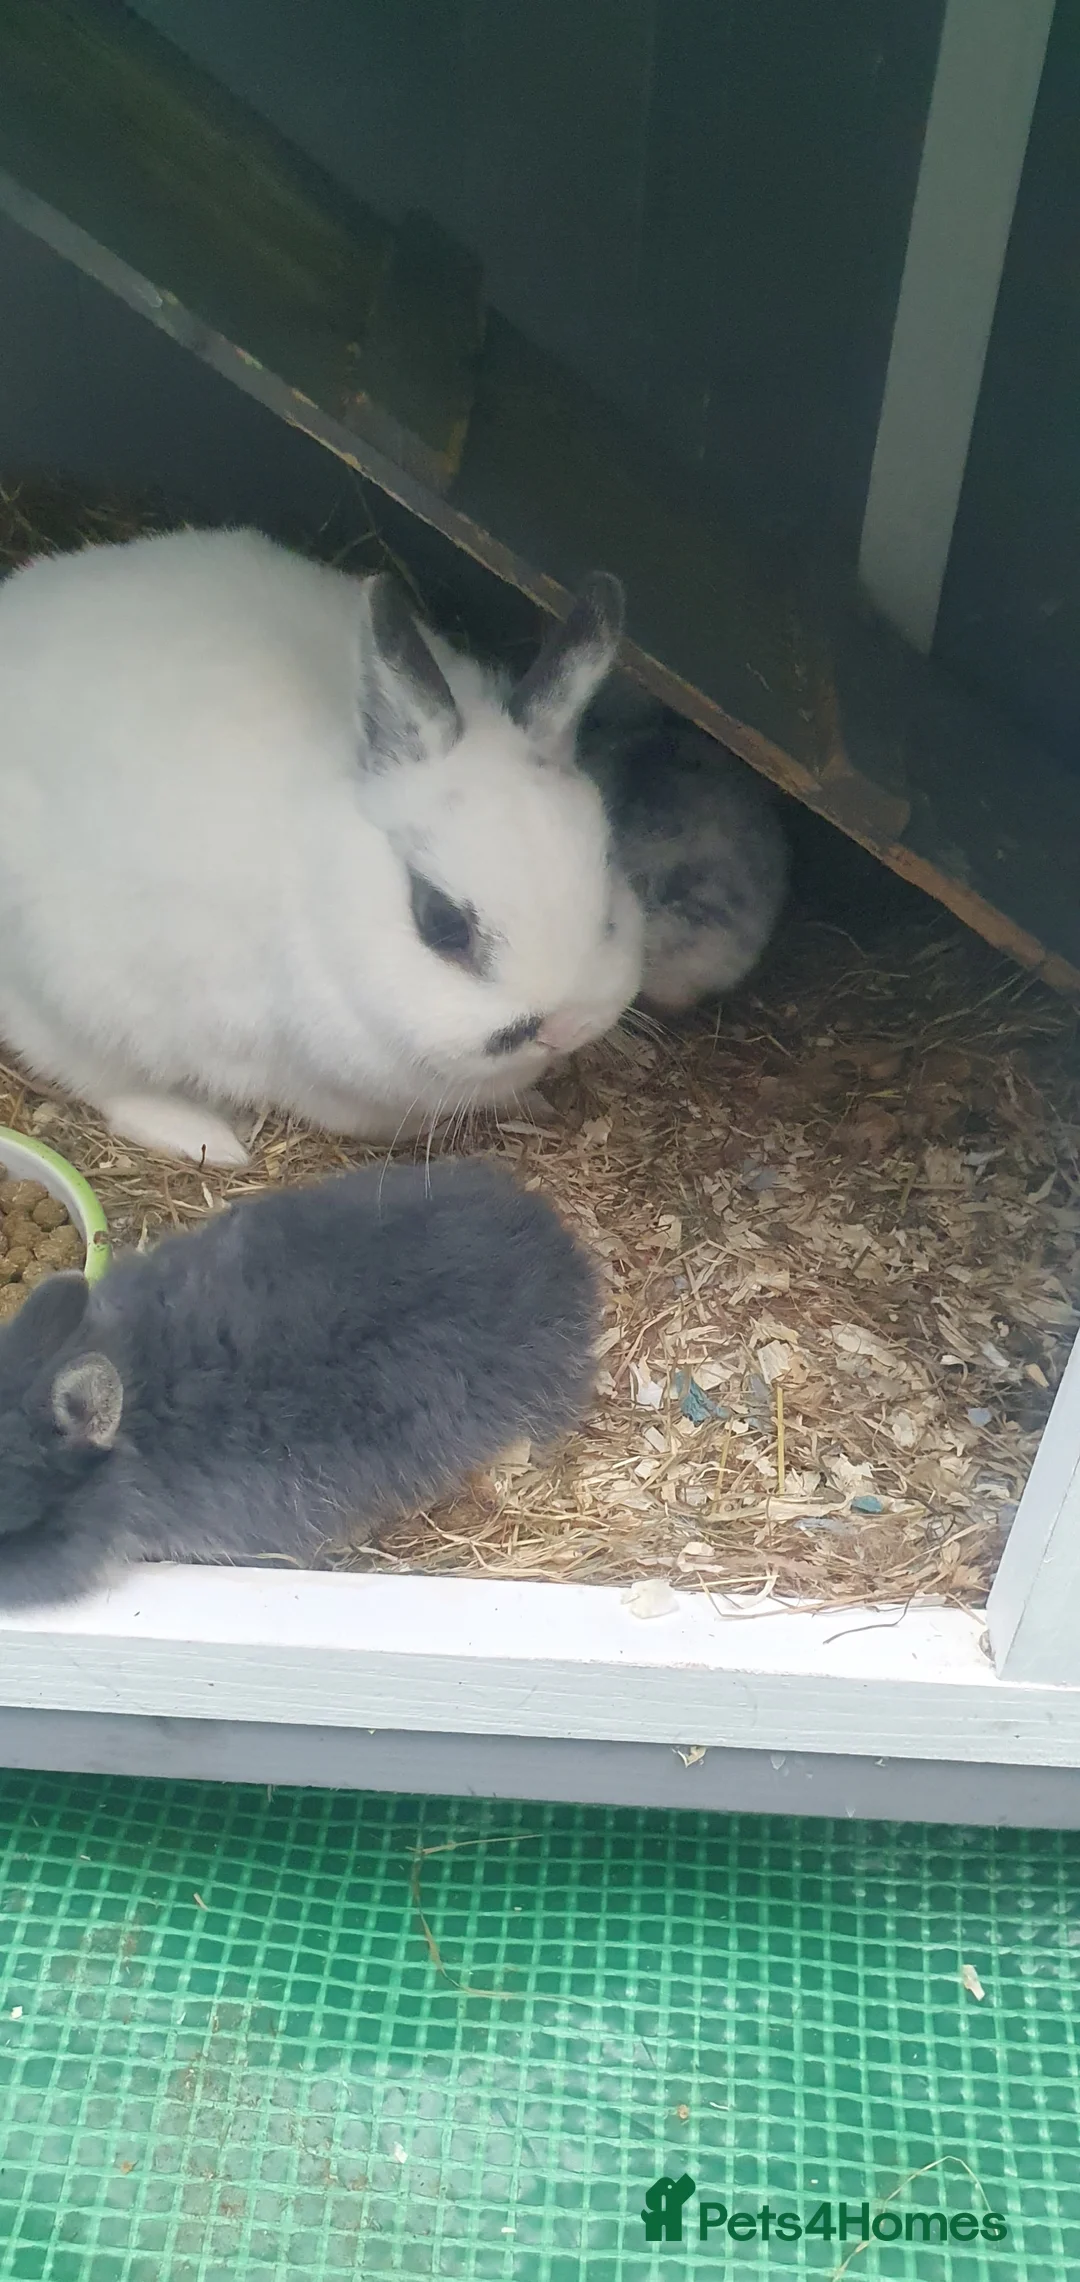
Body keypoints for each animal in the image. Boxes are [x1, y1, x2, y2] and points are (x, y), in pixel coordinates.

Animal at [0, 528, 644, 1167]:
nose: (564, 1027)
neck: (318, 891)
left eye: (608, 891)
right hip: (72, 992)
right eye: (441, 923)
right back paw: (207, 1137)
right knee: (95, 1075)